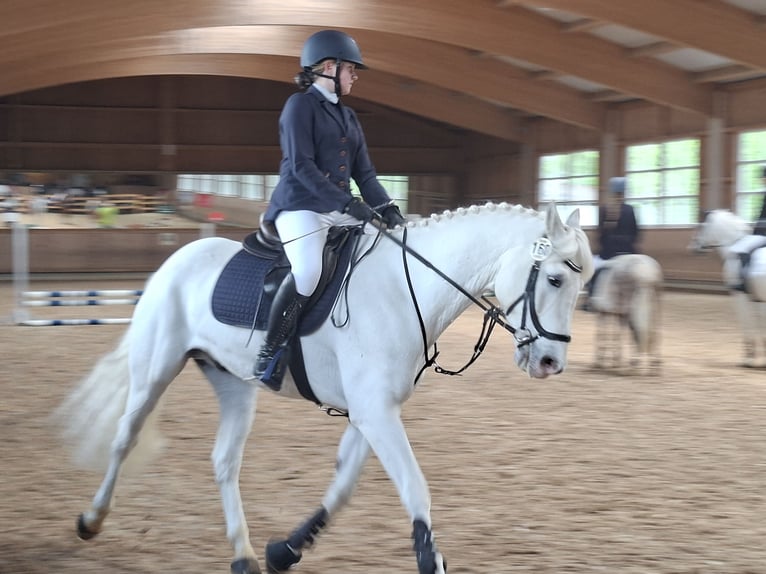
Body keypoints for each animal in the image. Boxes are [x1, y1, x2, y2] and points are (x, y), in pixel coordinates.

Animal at [54, 202, 593, 574]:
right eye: (553, 279)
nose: (550, 362)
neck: (407, 289)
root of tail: (177, 257)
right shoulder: (375, 411)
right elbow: (415, 488)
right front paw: (429, 559)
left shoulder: (371, 410)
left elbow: (344, 485)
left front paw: (284, 550)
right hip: (156, 368)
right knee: (125, 437)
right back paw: (90, 520)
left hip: (233, 382)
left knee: (224, 461)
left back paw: (244, 555)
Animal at [689, 209, 766, 367]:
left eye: (701, 226)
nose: (693, 247)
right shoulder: (759, 299)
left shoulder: (740, 296)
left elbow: (747, 323)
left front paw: (749, 358)